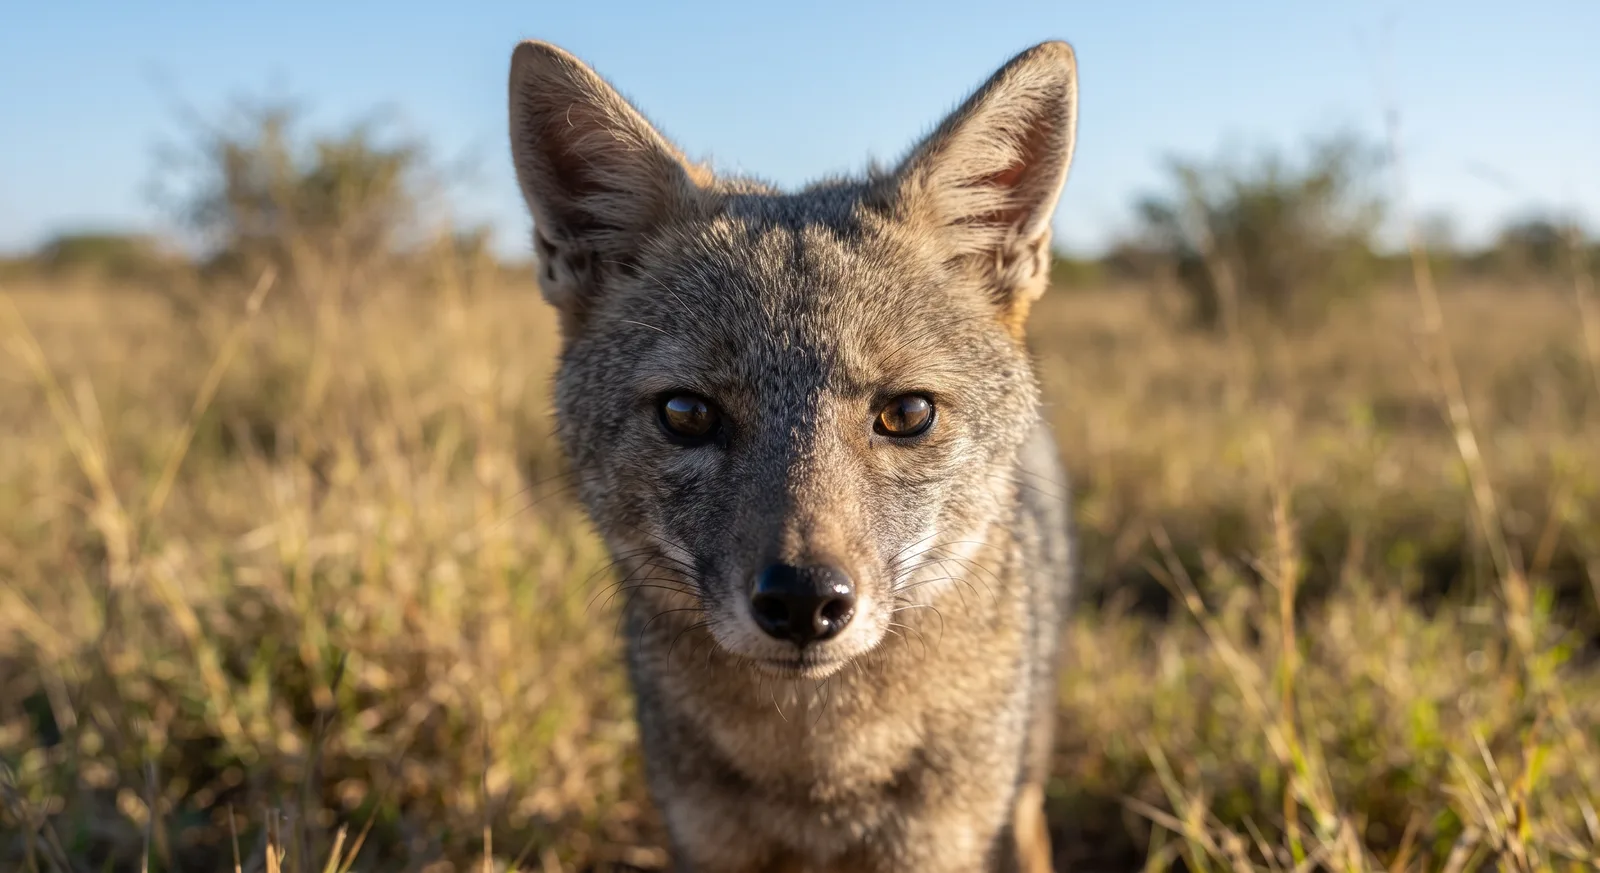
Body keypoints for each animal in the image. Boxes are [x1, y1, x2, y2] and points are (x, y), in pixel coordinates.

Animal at [508, 37, 1078, 873]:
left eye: (907, 414)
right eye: (687, 414)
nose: (804, 601)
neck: (817, 768)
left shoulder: (930, 843)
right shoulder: (709, 839)